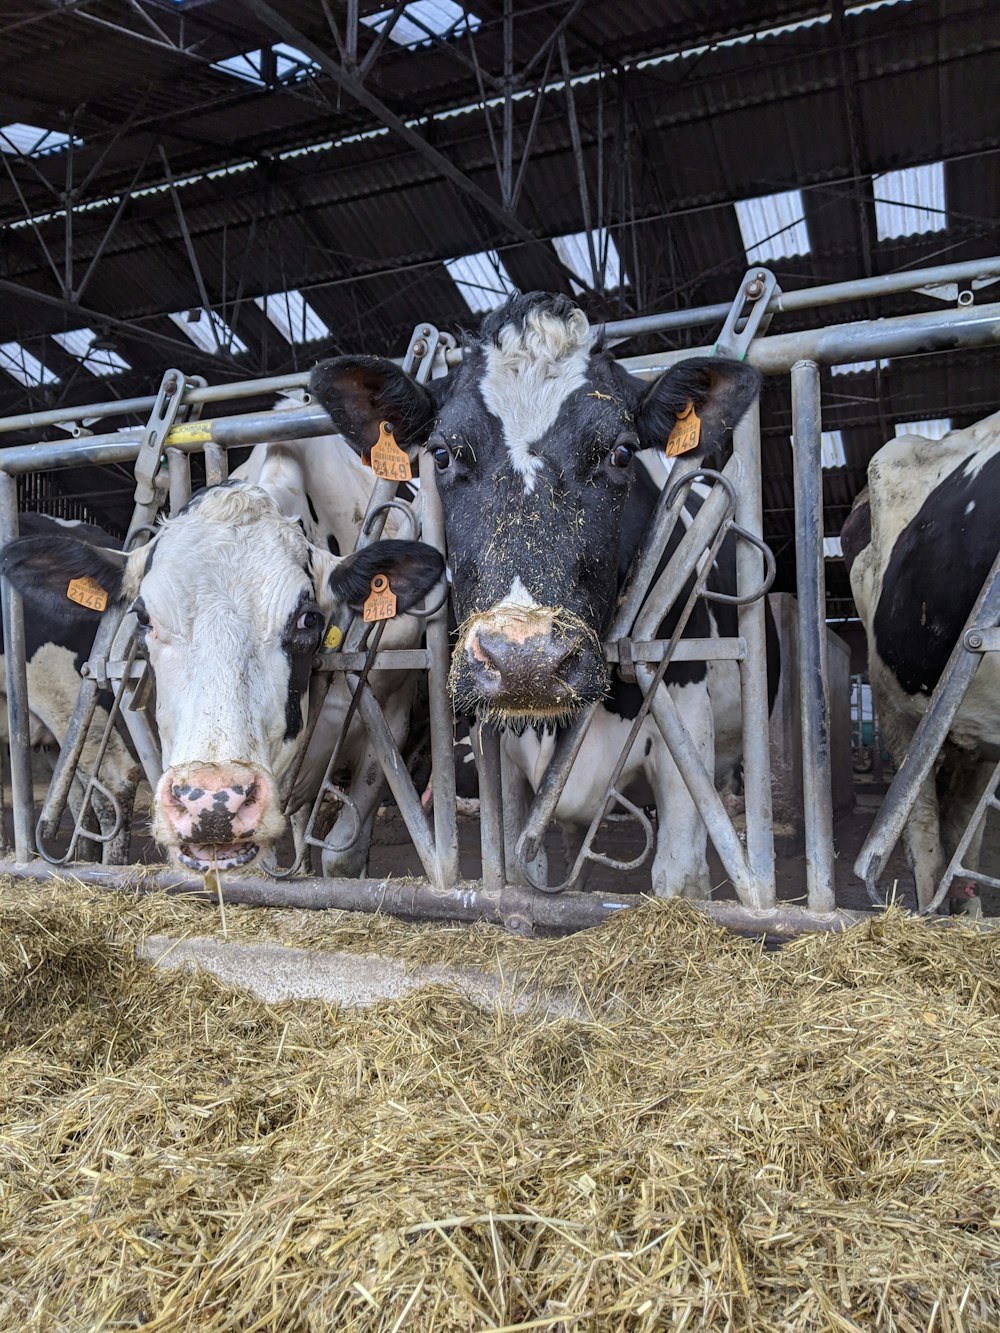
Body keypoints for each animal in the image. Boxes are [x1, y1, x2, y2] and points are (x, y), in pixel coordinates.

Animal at [313, 290, 773, 895]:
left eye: (621, 453)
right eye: (442, 453)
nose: (523, 661)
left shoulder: (686, 725)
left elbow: (678, 878)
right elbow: (524, 872)